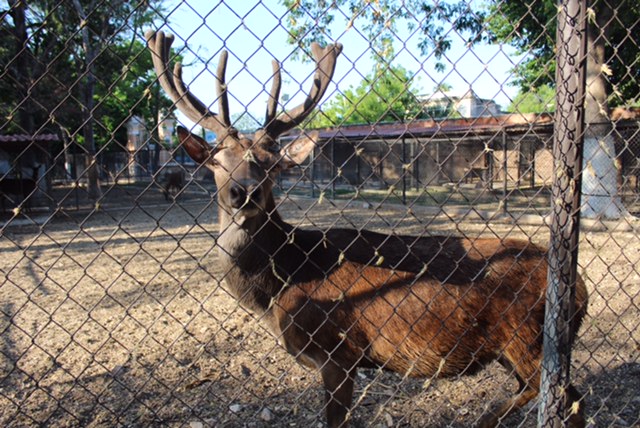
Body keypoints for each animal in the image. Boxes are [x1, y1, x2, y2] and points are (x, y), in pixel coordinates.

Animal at [148, 30, 588, 428]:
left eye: (271, 165)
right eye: (218, 161)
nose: (245, 192)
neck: (281, 284)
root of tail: (581, 289)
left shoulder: (338, 353)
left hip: (528, 336)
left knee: (562, 394)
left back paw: (487, 417)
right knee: (556, 393)